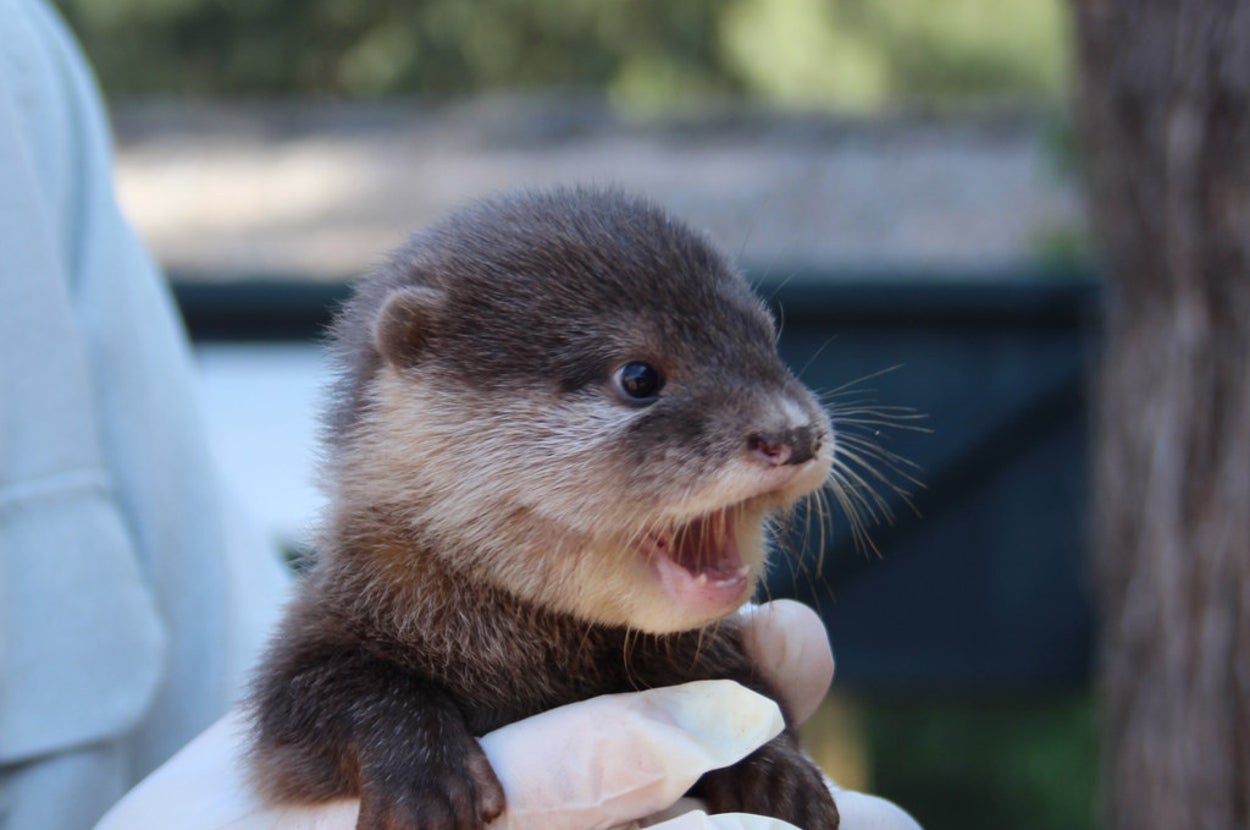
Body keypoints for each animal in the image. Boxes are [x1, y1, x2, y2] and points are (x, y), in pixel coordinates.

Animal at [248, 187, 841, 830]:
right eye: (638, 376)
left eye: (767, 340)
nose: (795, 435)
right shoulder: (324, 624)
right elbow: (328, 693)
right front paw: (424, 783)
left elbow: (755, 696)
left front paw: (778, 769)